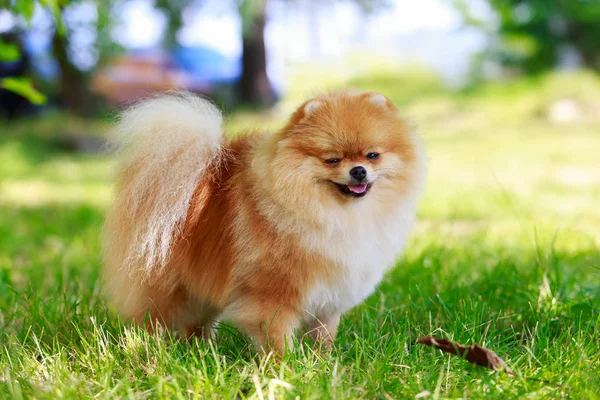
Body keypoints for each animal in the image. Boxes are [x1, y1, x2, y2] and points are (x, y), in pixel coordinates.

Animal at [105, 90, 428, 354]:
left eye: (373, 155)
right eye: (332, 159)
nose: (359, 170)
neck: (335, 213)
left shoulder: (329, 297)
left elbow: (323, 335)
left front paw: (323, 362)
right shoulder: (273, 292)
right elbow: (276, 335)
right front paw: (285, 369)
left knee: (198, 323)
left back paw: (202, 351)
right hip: (167, 284)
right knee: (153, 319)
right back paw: (149, 349)